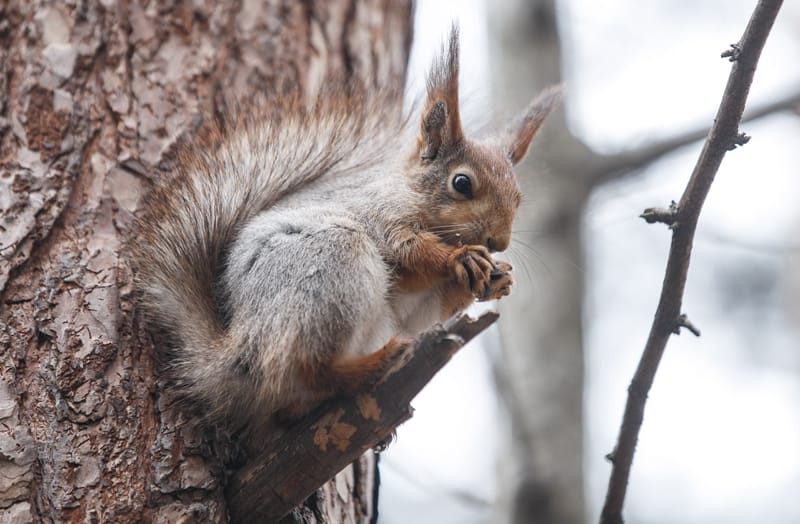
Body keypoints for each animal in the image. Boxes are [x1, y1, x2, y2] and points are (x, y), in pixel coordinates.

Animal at [131, 27, 559, 424]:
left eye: (519, 197)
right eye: (462, 183)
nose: (499, 241)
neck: (408, 192)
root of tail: (239, 350)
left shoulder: (414, 306)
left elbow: (426, 311)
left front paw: (497, 278)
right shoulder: (379, 215)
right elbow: (409, 251)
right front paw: (461, 258)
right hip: (329, 270)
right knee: (309, 369)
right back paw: (376, 363)